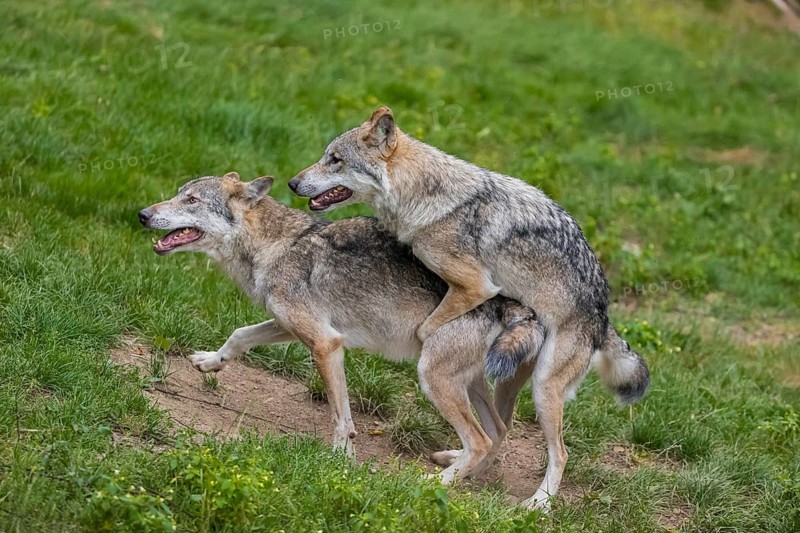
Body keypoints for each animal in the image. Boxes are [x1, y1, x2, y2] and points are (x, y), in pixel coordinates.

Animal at [138, 172, 546, 485]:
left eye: (191, 200)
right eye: (179, 192)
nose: (142, 214)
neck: (277, 247)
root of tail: (511, 303)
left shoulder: (326, 344)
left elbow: (341, 416)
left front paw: (340, 460)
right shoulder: (291, 327)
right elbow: (240, 335)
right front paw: (210, 362)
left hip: (433, 379)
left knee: (480, 440)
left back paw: (435, 485)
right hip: (469, 384)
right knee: (498, 432)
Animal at [289, 107, 651, 510]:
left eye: (335, 159)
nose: (291, 183)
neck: (422, 194)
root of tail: (603, 318)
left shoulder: (476, 286)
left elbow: (427, 328)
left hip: (543, 390)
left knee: (557, 452)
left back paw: (537, 504)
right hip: (508, 381)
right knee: (501, 431)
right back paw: (460, 465)